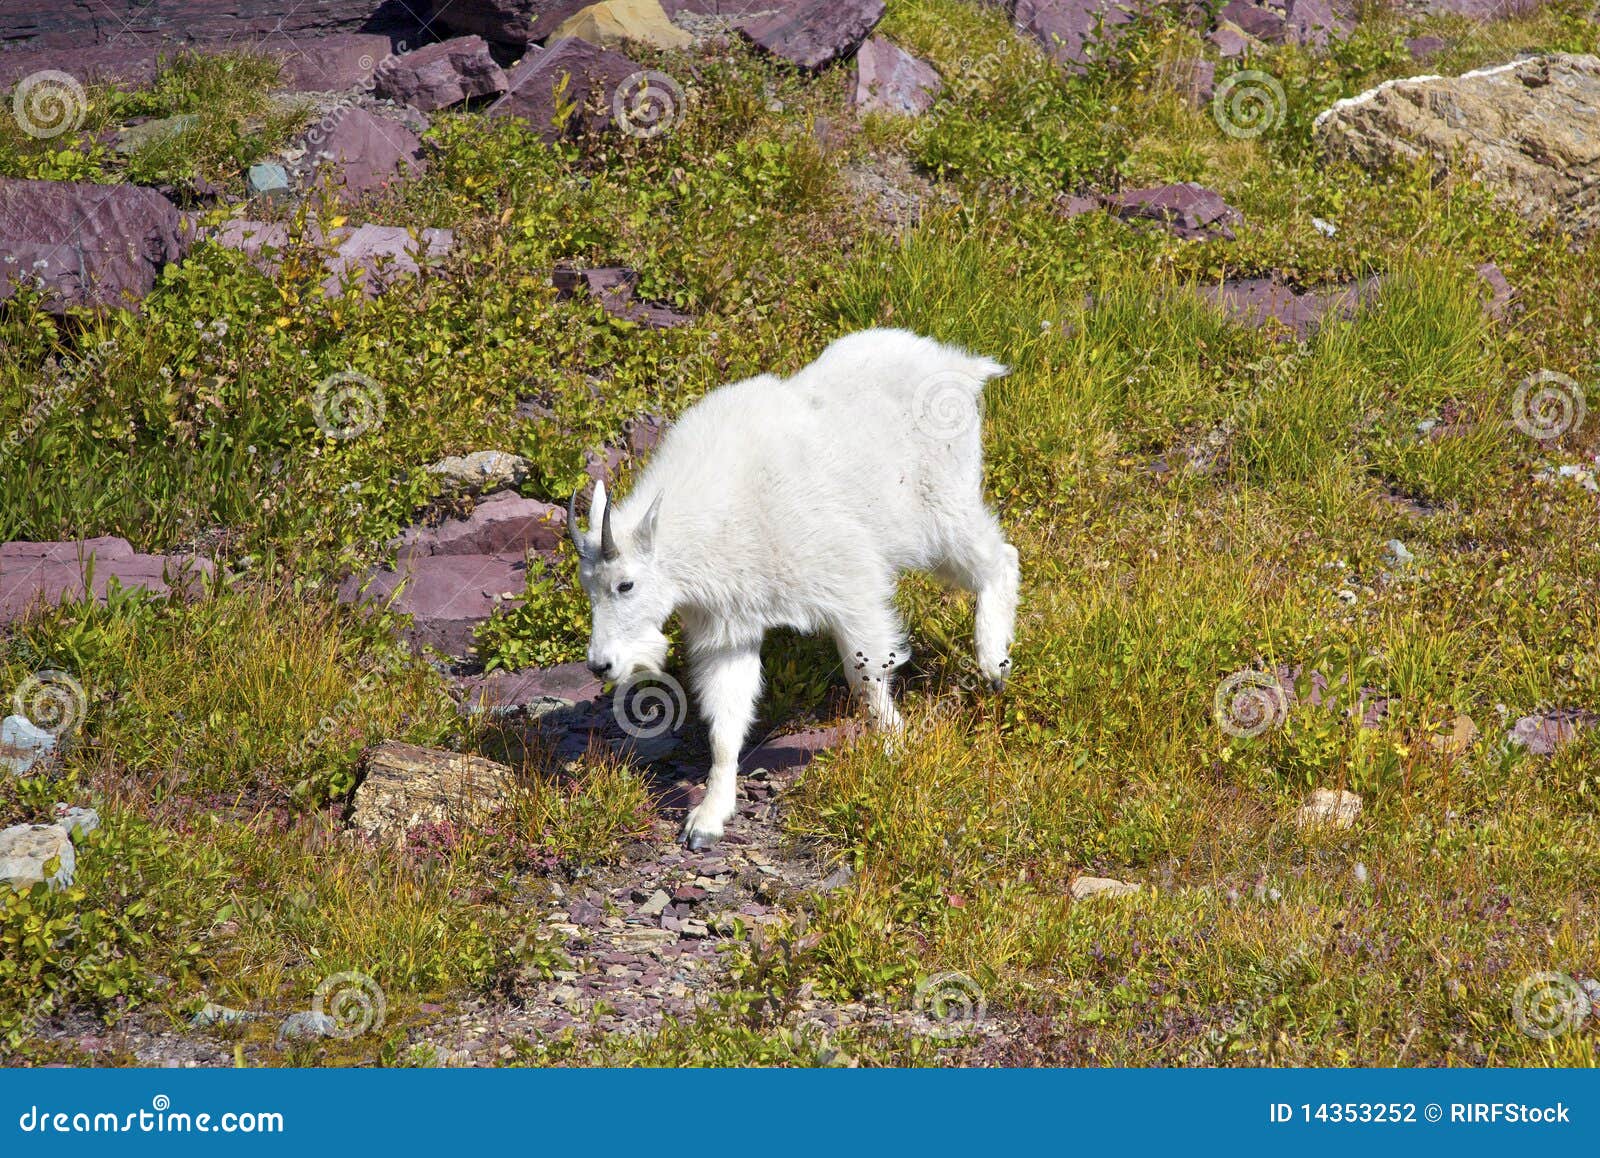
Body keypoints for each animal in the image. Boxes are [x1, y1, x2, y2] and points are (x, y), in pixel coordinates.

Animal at [567, 328, 1020, 849]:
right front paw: (707, 820)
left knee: (1001, 558)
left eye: (626, 584)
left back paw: (993, 661)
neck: (710, 521)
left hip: (941, 512)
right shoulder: (728, 627)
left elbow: (867, 675)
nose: (601, 665)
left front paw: (895, 749)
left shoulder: (849, 583)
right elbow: (726, 719)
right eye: (588, 587)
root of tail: (961, 366)